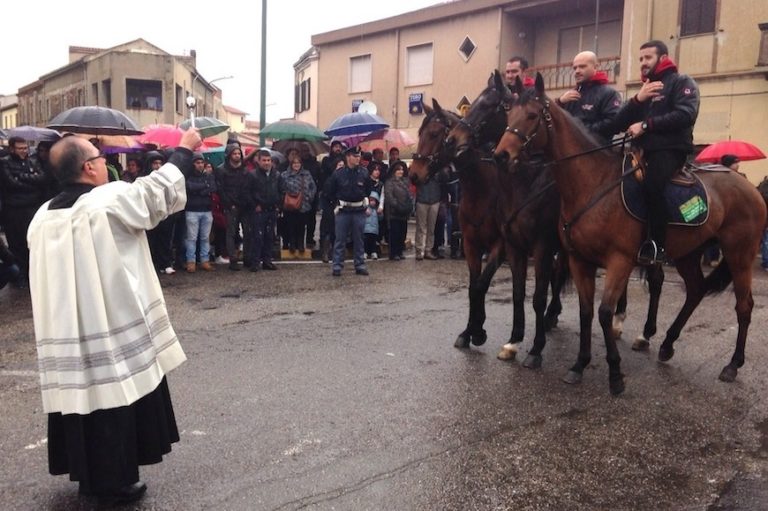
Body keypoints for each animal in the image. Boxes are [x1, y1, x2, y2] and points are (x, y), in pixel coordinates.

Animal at [496, 75, 764, 396]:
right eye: (507, 113)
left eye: (533, 115)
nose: (501, 155)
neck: (592, 183)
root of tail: (748, 186)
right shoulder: (578, 260)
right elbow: (586, 311)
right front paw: (579, 364)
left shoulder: (618, 260)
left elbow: (604, 311)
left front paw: (614, 373)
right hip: (688, 253)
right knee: (696, 291)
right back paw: (666, 344)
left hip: (740, 254)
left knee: (744, 306)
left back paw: (733, 364)